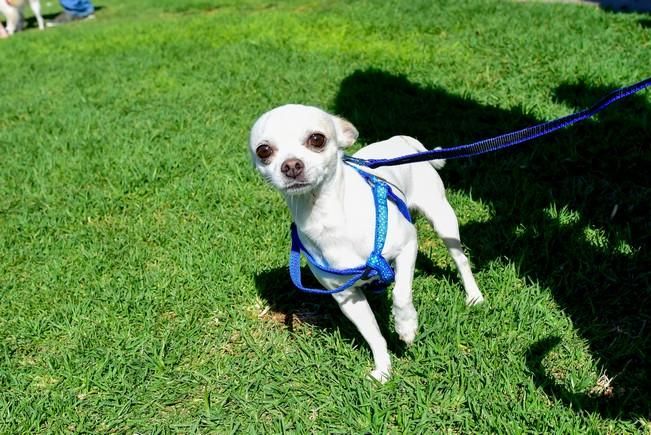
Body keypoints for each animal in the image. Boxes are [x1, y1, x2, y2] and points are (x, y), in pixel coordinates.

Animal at [250, 103, 484, 382]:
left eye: (317, 139)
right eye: (263, 150)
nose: (291, 165)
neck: (327, 216)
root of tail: (401, 139)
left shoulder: (407, 245)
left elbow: (401, 294)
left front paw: (406, 326)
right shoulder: (346, 297)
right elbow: (372, 334)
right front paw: (383, 369)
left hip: (443, 220)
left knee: (461, 260)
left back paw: (473, 296)